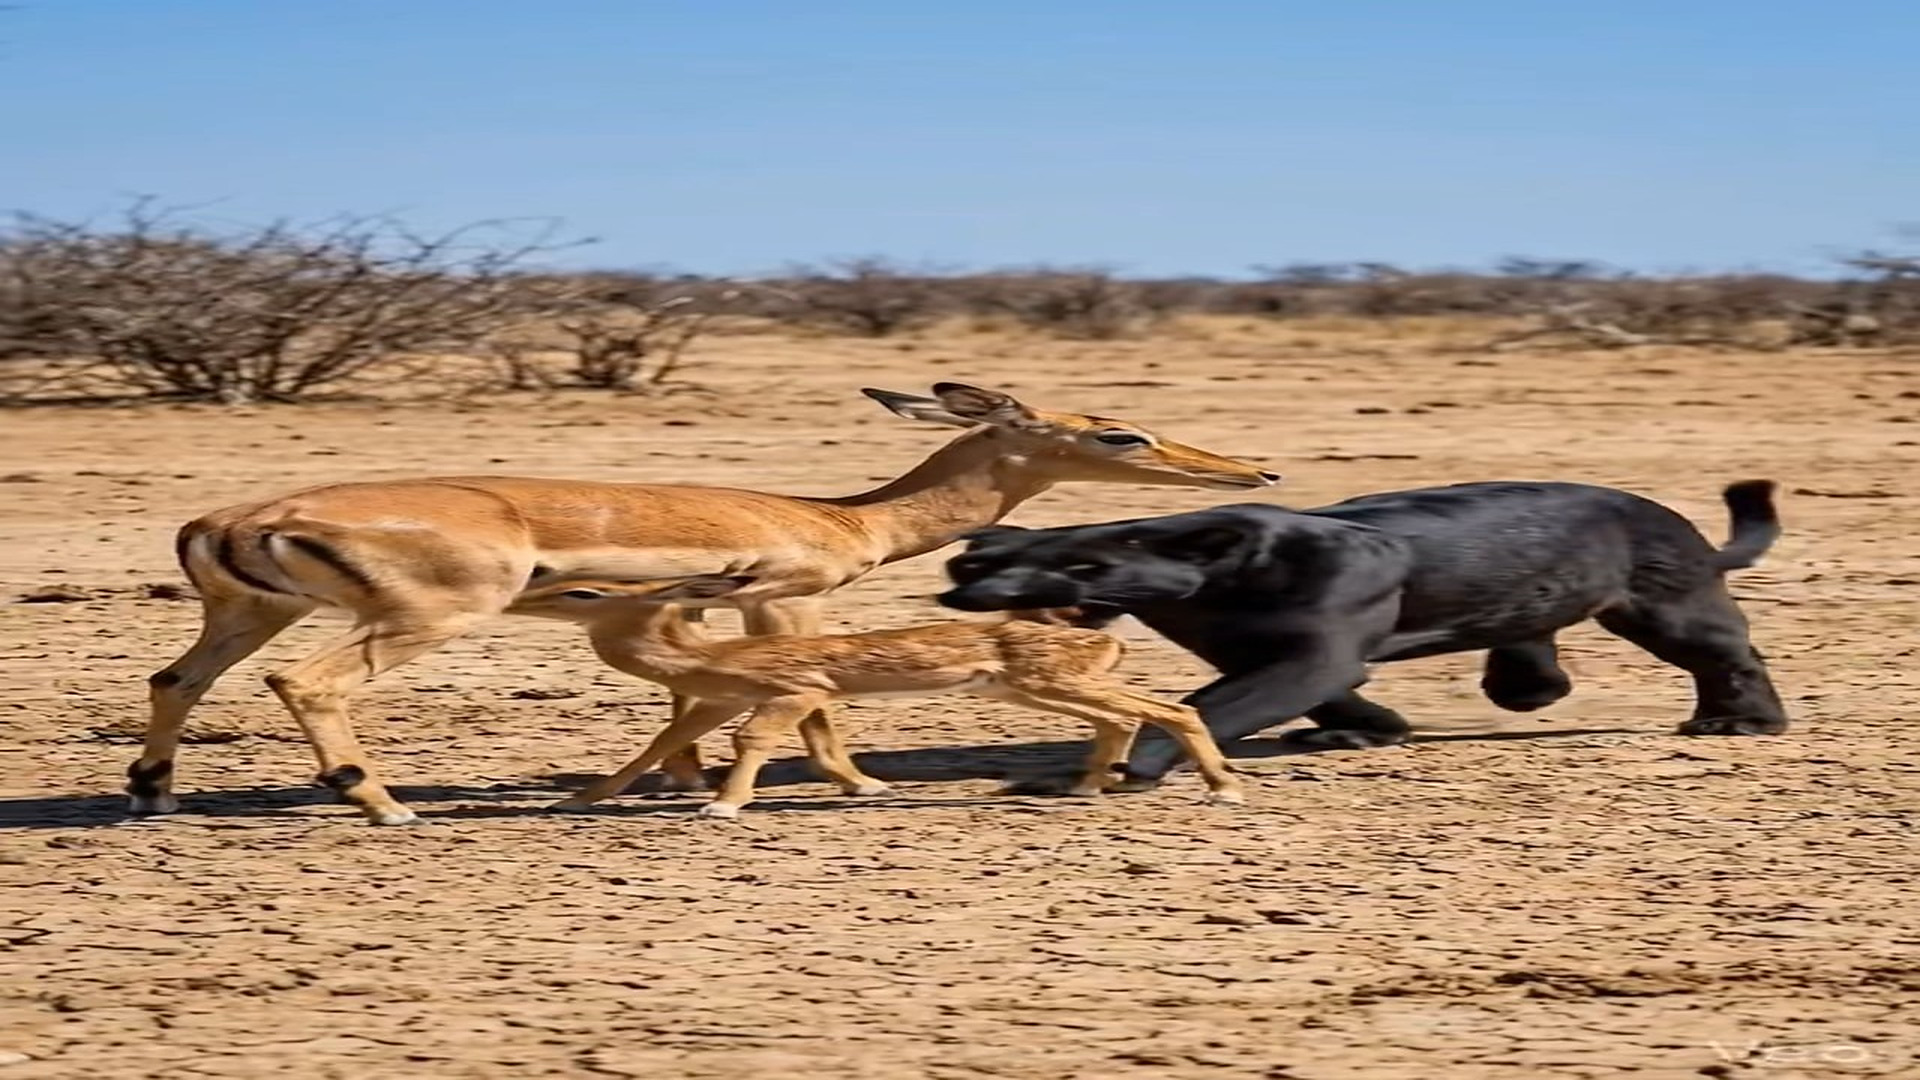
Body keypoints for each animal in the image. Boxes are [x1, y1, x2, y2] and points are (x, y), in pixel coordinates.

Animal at [508, 574, 1246, 817]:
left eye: (584, 592)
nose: (517, 598)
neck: (705, 660)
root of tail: (1106, 642)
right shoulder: (717, 701)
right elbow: (657, 744)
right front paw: (572, 800)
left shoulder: (793, 693)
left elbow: (750, 739)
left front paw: (722, 807)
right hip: (1033, 692)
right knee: (1123, 721)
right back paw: (1087, 788)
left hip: (1054, 686)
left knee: (1175, 708)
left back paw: (1224, 791)